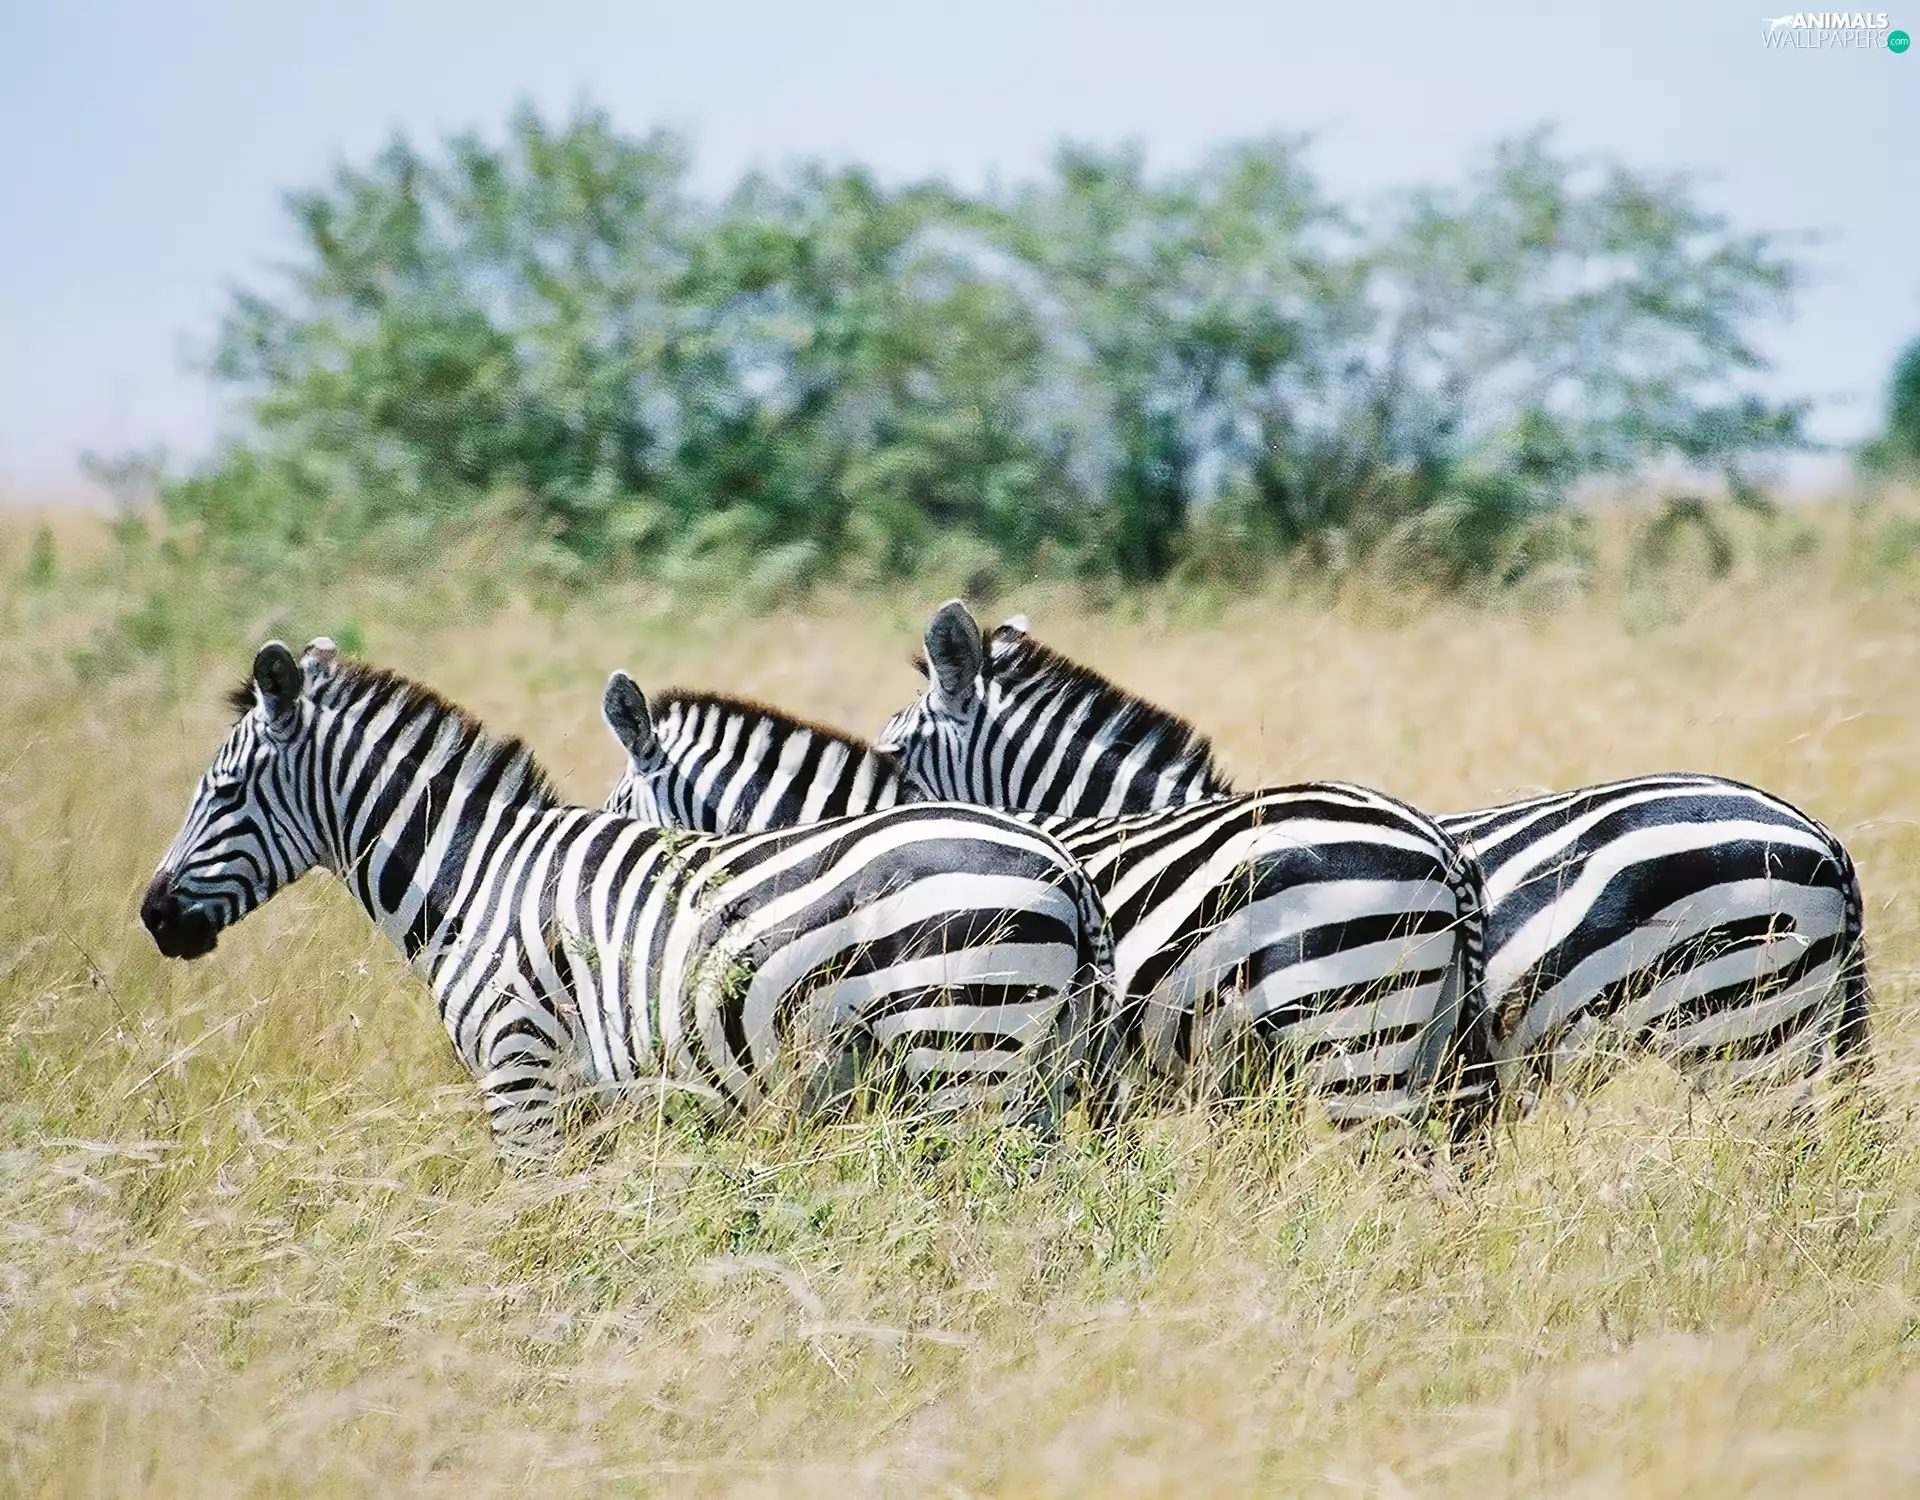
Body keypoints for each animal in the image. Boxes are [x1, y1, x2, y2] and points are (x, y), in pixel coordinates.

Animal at [139, 639, 1119, 1160]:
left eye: (223, 792)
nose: (152, 917)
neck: (476, 878)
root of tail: (1064, 867)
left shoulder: (520, 1071)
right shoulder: (589, 1101)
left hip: (965, 1053)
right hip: (1037, 1070)